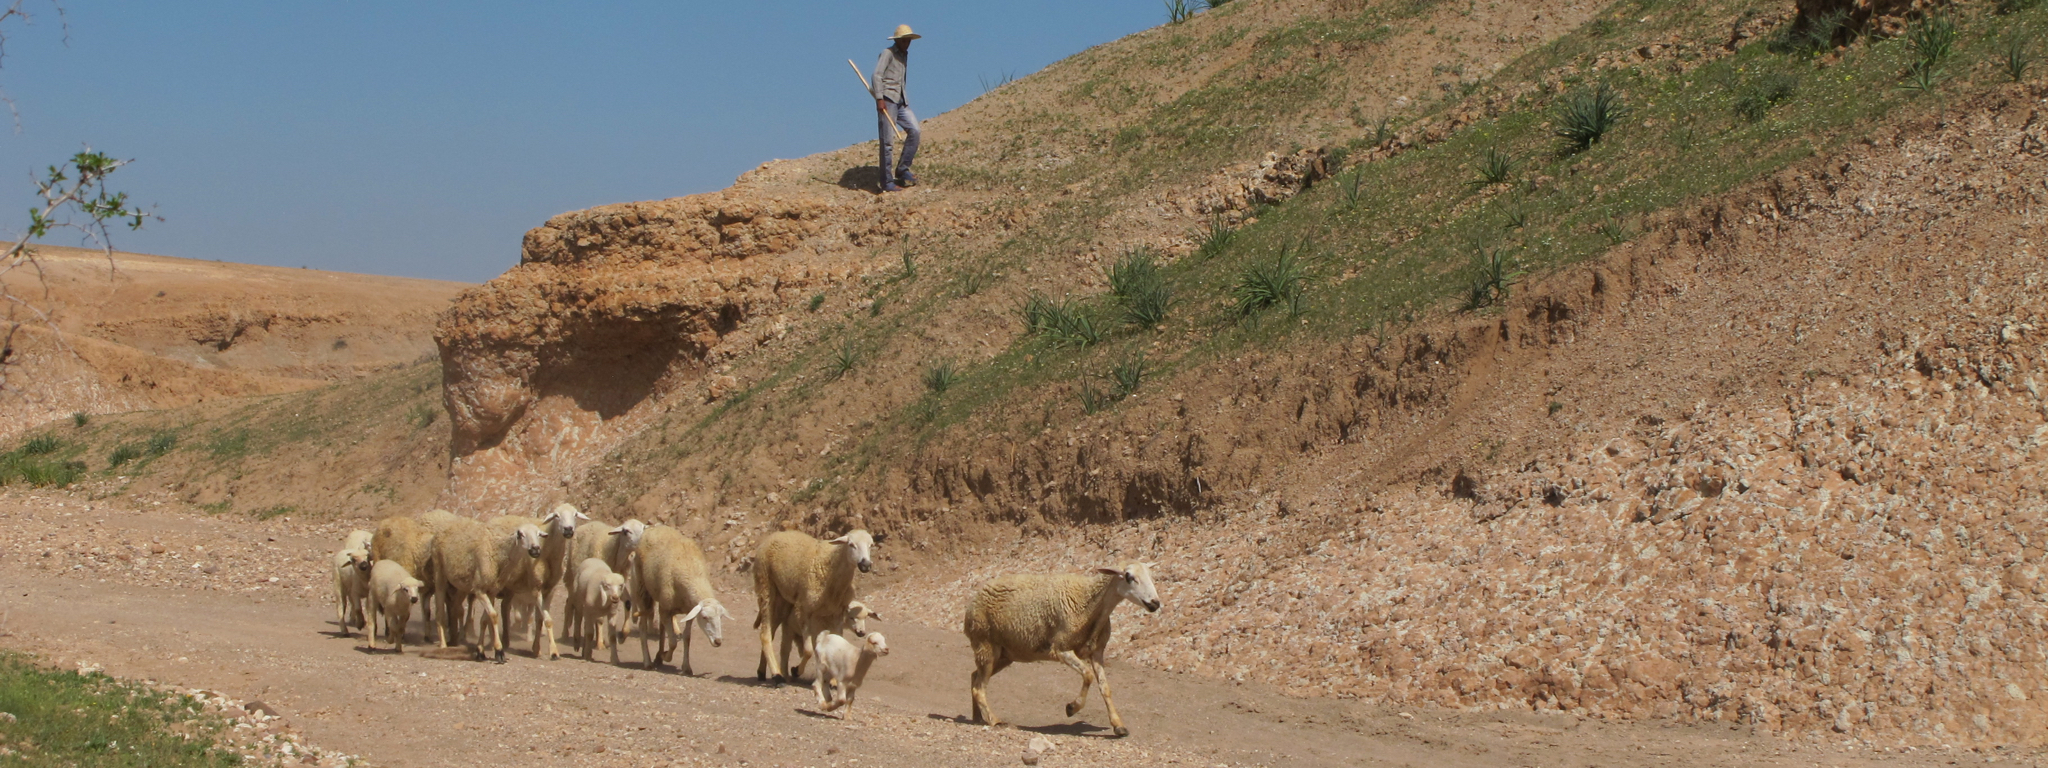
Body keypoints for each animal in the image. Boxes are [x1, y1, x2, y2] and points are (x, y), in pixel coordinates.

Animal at [430, 518, 544, 663]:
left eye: (539, 534)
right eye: (520, 534)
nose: (535, 550)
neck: (500, 555)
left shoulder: (491, 592)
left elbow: (485, 619)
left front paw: (480, 651)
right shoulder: (479, 590)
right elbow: (494, 616)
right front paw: (499, 651)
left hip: (460, 583)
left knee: (455, 608)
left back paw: (455, 639)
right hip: (439, 572)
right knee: (439, 611)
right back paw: (443, 646)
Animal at [643, 528, 741, 675]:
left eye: (721, 617)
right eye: (705, 617)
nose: (718, 641)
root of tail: (656, 527)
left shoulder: (690, 611)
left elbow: (687, 637)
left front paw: (686, 667)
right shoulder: (666, 609)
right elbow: (673, 642)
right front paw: (666, 656)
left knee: (662, 627)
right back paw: (658, 657)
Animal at [753, 528, 880, 684]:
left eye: (870, 545)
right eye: (851, 544)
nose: (866, 565)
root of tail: (775, 535)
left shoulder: (837, 614)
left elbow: (837, 643)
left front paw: (833, 682)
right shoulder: (803, 610)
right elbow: (808, 650)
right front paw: (796, 670)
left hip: (783, 601)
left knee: (771, 631)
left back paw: (762, 672)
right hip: (765, 586)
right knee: (765, 635)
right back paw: (777, 675)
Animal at [962, 565, 1163, 741]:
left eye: (1151, 575)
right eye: (1129, 577)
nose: (1155, 603)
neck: (1090, 602)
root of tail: (970, 608)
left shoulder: (1097, 652)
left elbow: (1105, 688)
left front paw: (1119, 726)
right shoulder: (1060, 649)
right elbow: (1088, 675)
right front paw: (1072, 708)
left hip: (1005, 654)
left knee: (974, 677)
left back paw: (978, 717)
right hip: (985, 645)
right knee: (979, 687)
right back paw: (994, 720)